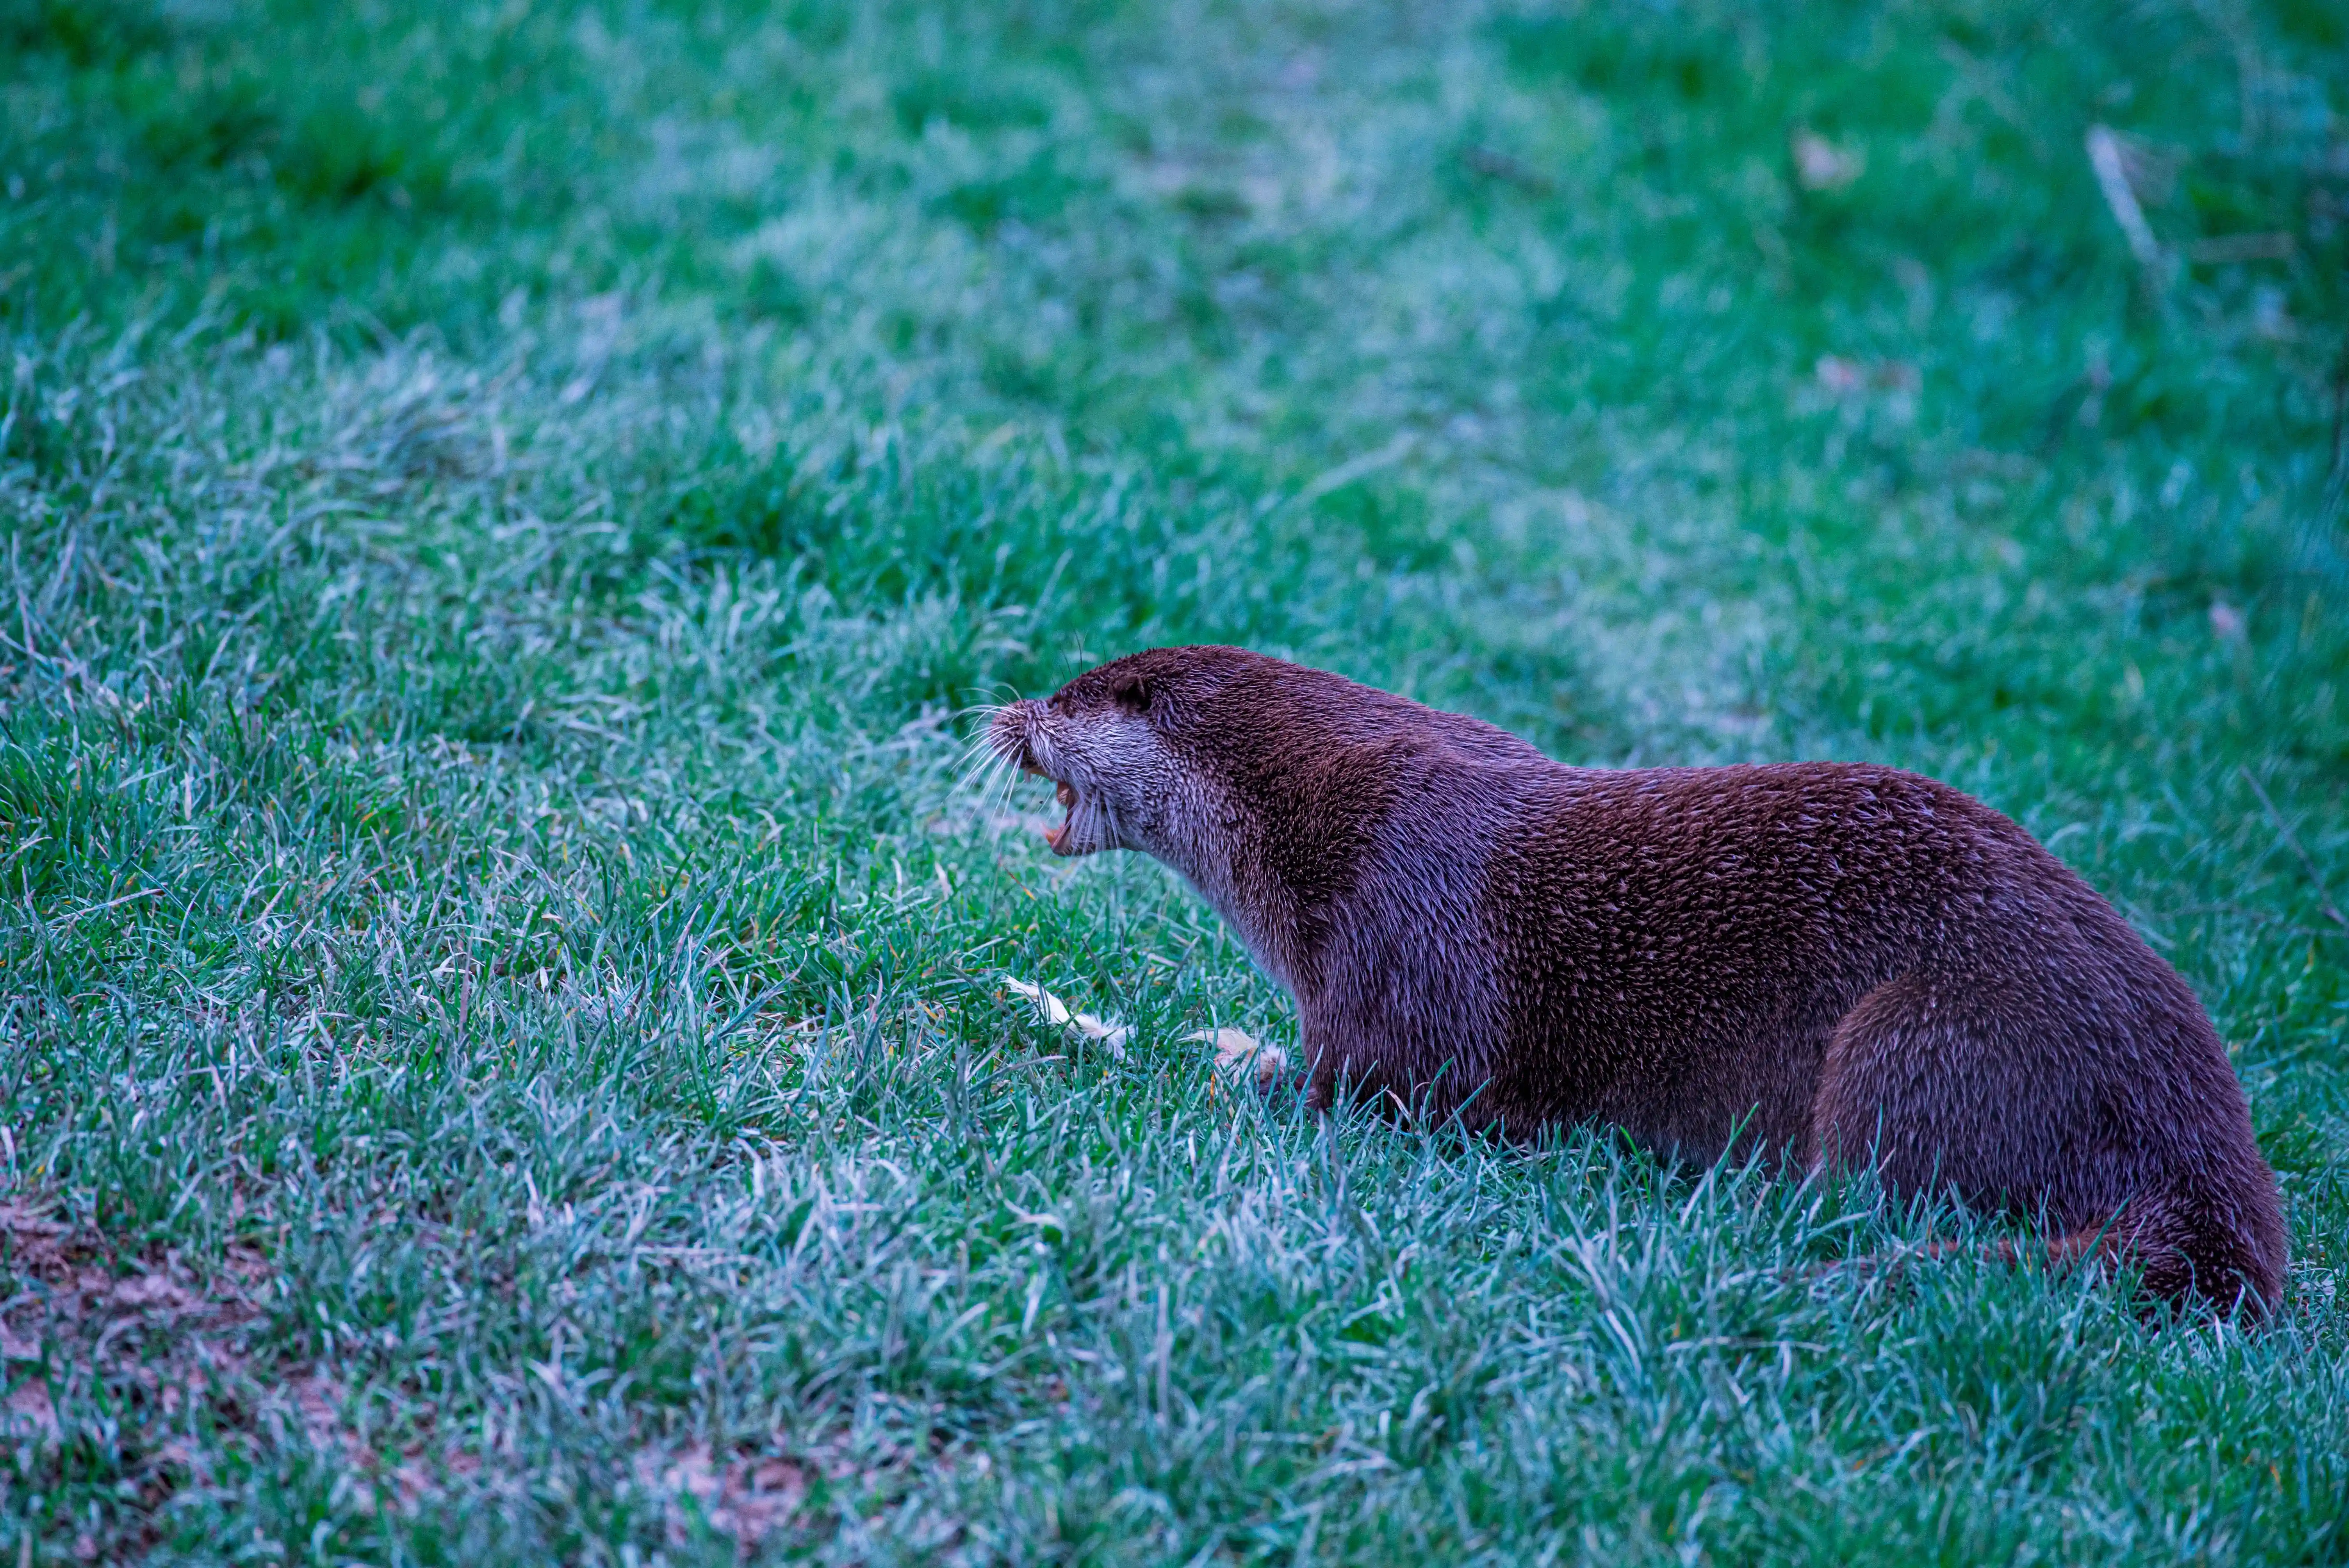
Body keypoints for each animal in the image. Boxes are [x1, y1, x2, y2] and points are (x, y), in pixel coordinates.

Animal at [987, 645, 2287, 1315]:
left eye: (1067, 696)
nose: (1003, 710)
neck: (1312, 820)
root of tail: (2207, 1159)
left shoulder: (1401, 941)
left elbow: (1371, 1088)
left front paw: (1213, 1063)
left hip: (1930, 1038)